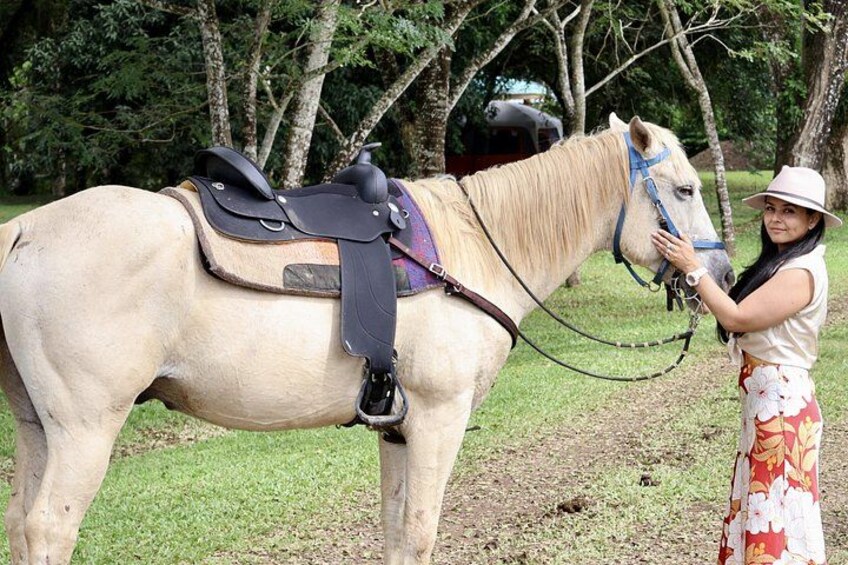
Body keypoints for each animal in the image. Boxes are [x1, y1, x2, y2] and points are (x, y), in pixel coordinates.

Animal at [0, 114, 733, 564]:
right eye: (684, 189)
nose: (722, 274)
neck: (473, 247)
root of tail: (23, 227)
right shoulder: (439, 419)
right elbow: (421, 532)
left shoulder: (398, 428)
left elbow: (395, 533)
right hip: (86, 429)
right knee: (49, 528)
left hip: (39, 426)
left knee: (21, 526)